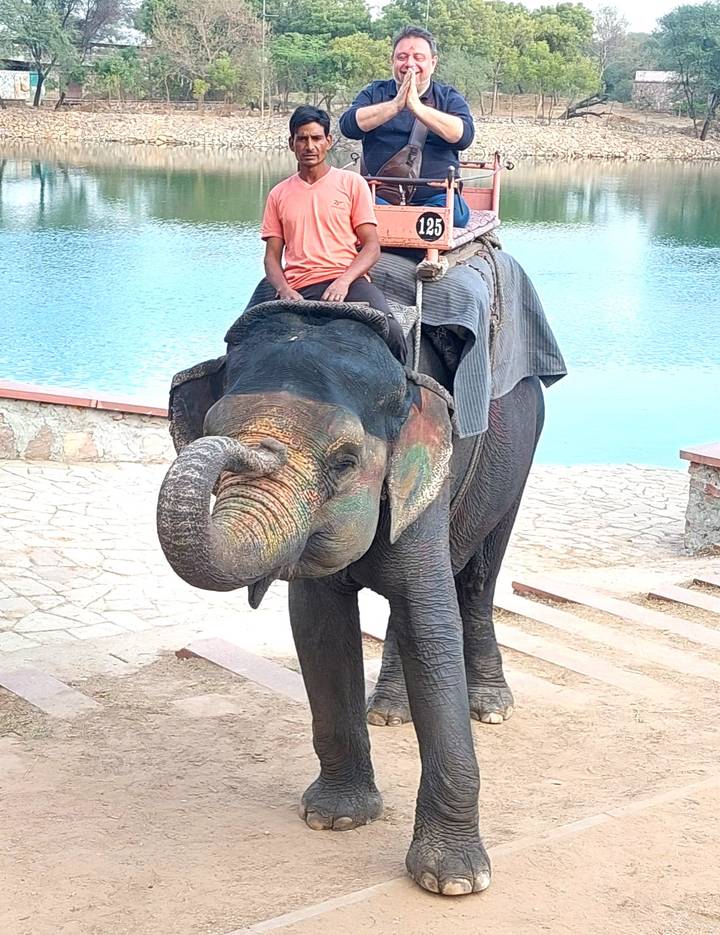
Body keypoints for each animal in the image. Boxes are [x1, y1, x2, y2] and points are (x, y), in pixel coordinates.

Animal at [157, 298, 544, 897]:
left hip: (518, 458)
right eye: (210, 429)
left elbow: (431, 620)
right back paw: (387, 712)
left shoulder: (429, 476)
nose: (250, 452)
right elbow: (318, 625)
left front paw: (454, 882)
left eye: (343, 461)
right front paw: (335, 819)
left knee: (479, 577)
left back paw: (491, 706)